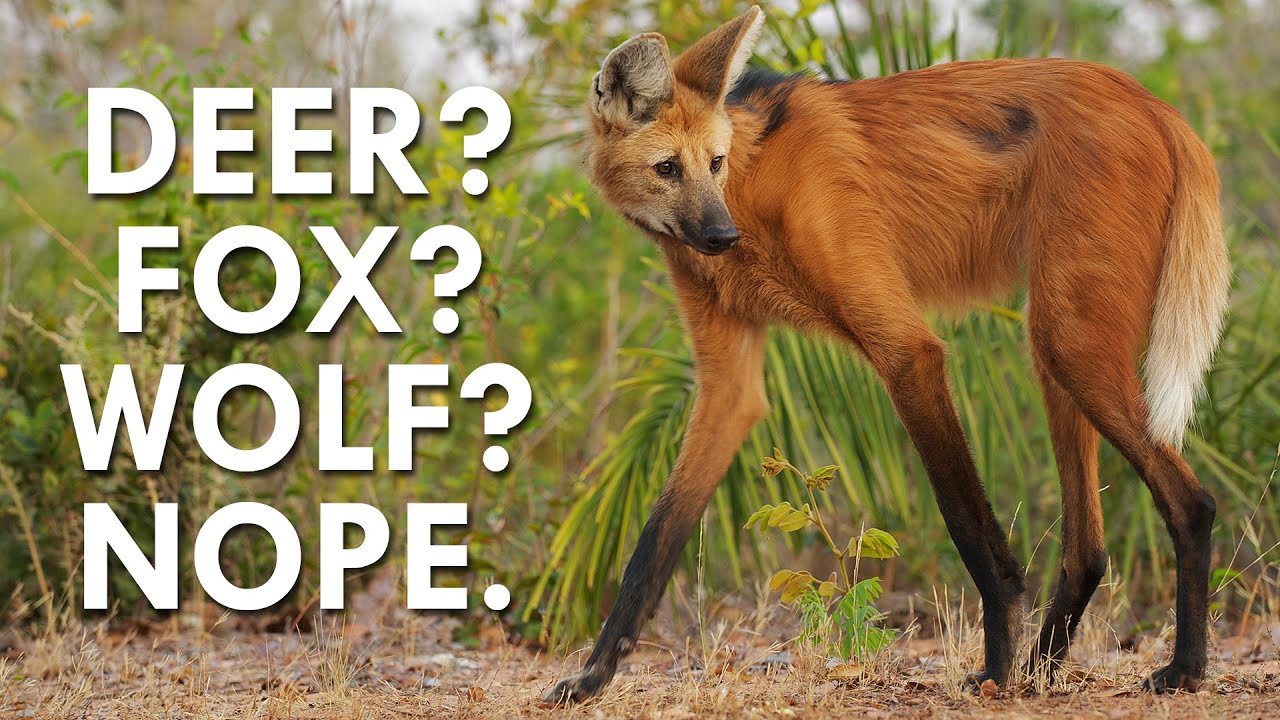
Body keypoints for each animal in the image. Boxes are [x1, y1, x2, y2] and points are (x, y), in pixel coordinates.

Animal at [544, 5, 1231, 704]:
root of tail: (1154, 103)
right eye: (667, 168)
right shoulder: (728, 387)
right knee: (1088, 547)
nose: (719, 235)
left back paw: (1181, 668)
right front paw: (592, 676)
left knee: (1191, 503)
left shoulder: (907, 350)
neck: (754, 190)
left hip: (1071, 342)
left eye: (714, 163)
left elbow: (964, 521)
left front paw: (993, 667)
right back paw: (1043, 670)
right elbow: (653, 543)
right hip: (1056, 345)